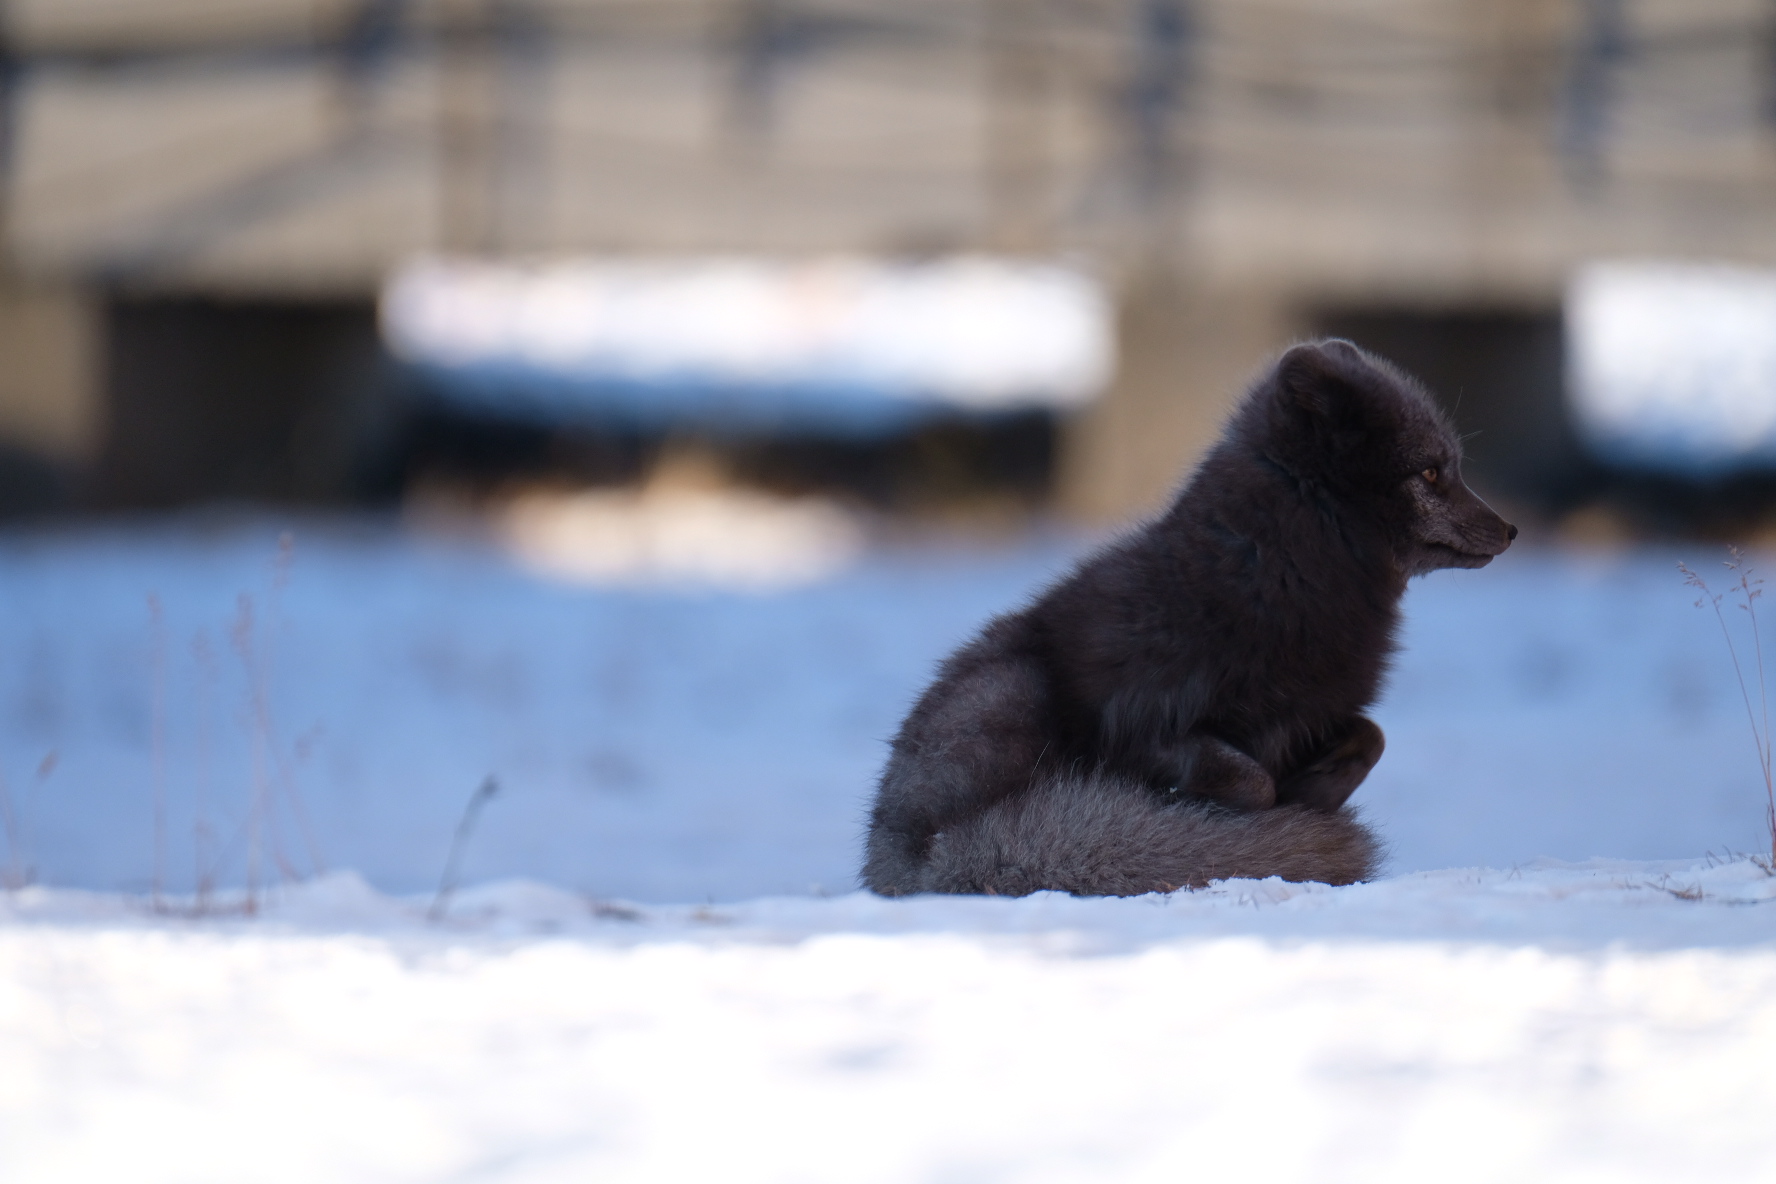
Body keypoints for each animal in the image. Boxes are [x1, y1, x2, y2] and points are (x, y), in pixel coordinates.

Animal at [859, 340, 1513, 898]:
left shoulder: (1309, 711)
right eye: (1430, 473)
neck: (1275, 569)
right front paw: (1219, 812)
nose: (1509, 530)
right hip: (1015, 690)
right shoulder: (1139, 721)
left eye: (1450, 467)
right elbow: (1252, 779)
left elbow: (1369, 736)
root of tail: (898, 856)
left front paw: (1310, 793)